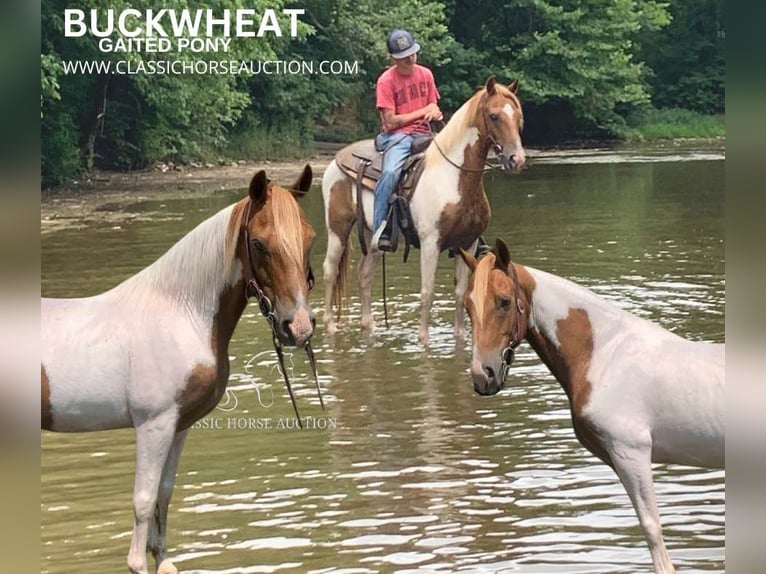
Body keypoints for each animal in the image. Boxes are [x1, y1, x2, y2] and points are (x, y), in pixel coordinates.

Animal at [41, 166, 318, 574]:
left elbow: (164, 493)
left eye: (309, 238)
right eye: (258, 243)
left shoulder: (179, 424)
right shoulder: (153, 424)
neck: (181, 312)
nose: (297, 326)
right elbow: (143, 501)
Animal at [320, 76, 524, 346]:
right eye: (494, 116)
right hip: (337, 230)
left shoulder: (467, 244)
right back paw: (330, 326)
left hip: (374, 236)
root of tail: (336, 160)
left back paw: (370, 328)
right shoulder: (430, 243)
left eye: (518, 115)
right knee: (330, 270)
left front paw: (460, 339)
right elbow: (427, 293)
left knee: (364, 275)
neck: (453, 178)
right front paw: (423, 342)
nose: (516, 159)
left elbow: (461, 293)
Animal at [460, 238, 728, 574]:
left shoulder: (631, 453)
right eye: (467, 305)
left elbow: (652, 530)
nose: (482, 376)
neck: (605, 352)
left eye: (504, 301)